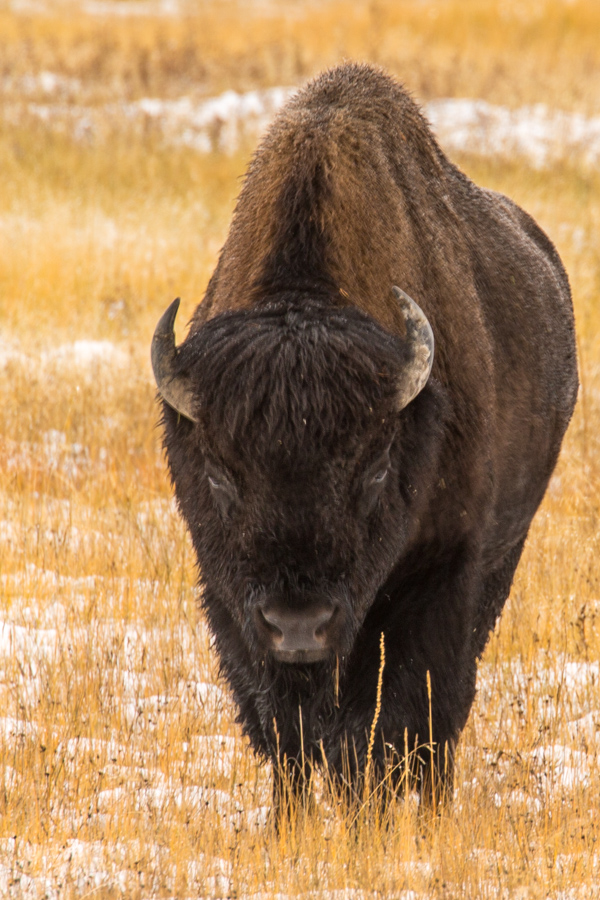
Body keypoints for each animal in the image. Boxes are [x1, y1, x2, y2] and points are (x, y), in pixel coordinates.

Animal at [151, 63, 577, 810]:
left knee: (437, 722)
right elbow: (288, 735)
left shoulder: (438, 573)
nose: (299, 626)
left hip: (500, 557)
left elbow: (389, 720)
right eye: (220, 476)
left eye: (375, 469)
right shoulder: (231, 600)